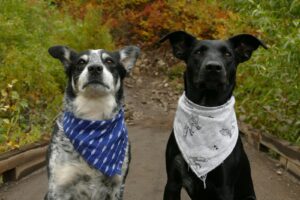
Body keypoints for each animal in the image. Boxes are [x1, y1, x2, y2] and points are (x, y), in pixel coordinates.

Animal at [161, 30, 266, 199]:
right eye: (198, 52)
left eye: (228, 54)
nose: (213, 67)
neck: (206, 106)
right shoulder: (172, 182)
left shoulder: (225, 188)